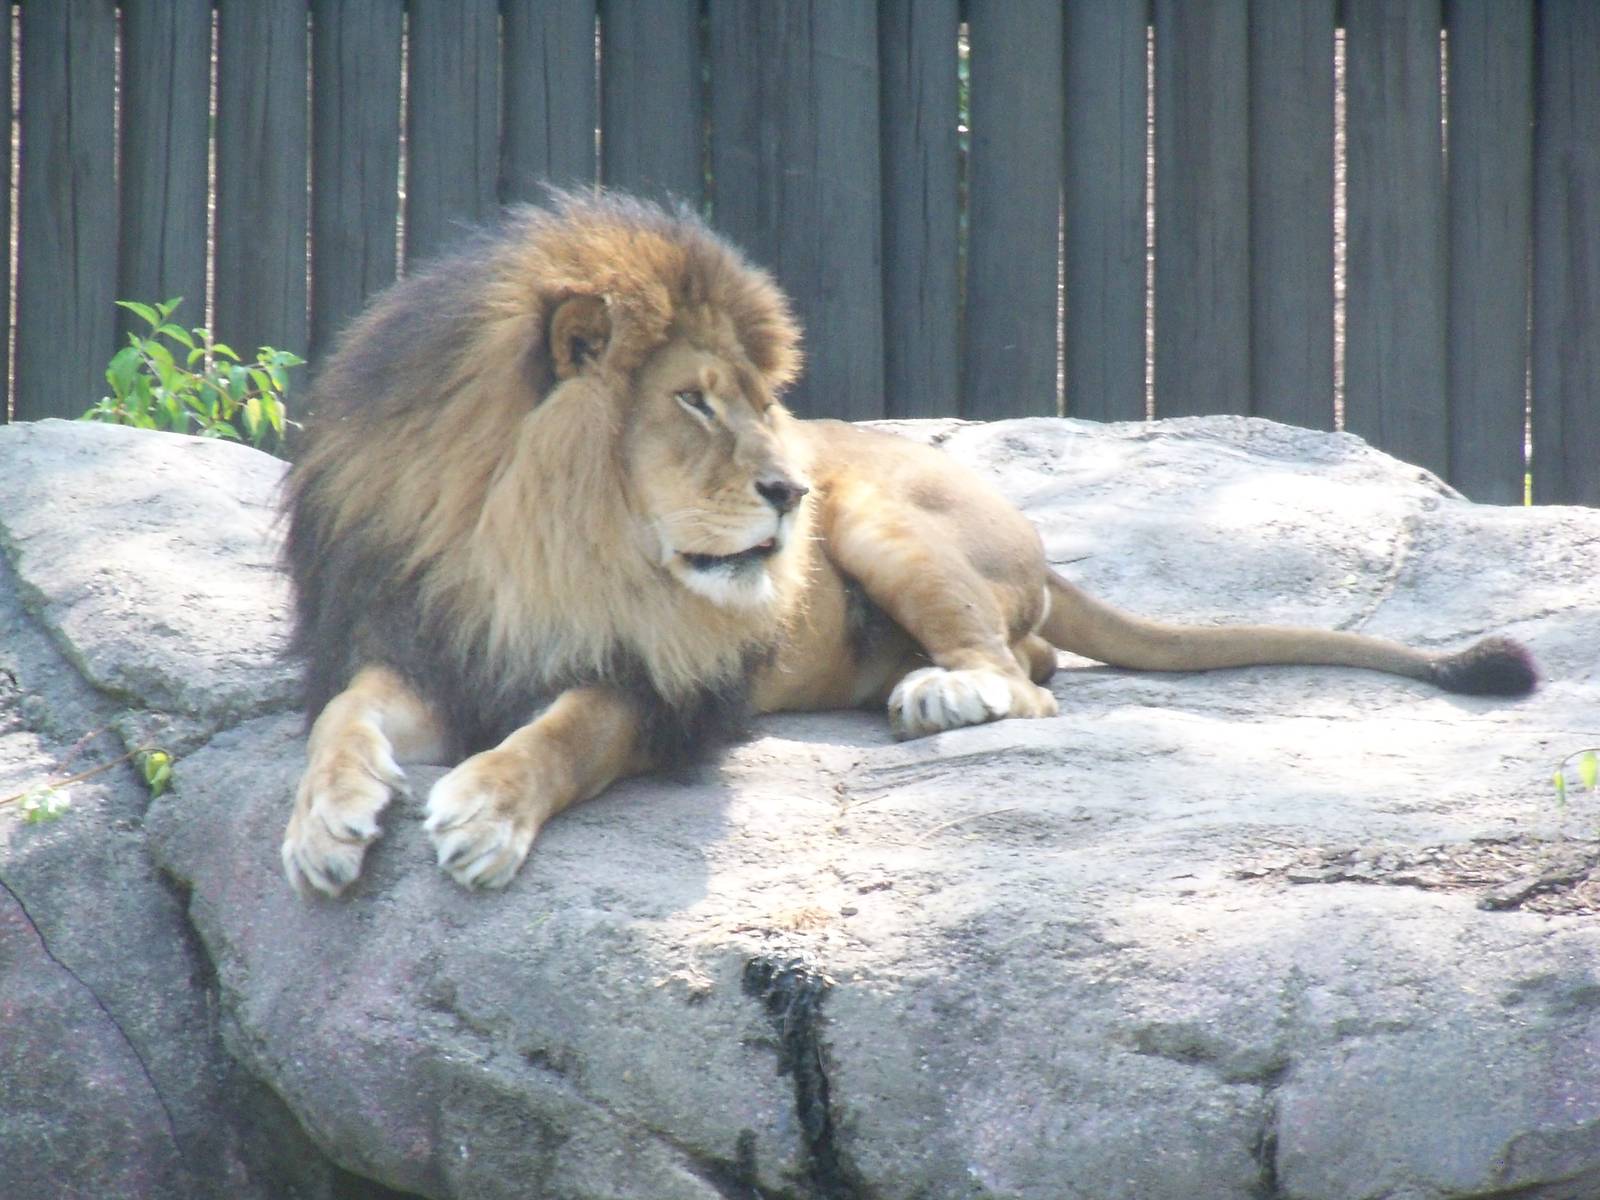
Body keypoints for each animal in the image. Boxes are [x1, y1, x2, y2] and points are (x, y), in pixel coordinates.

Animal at [280, 191, 1537, 898]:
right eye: (692, 402)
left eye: (762, 404)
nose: (787, 489)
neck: (538, 545)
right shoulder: (428, 637)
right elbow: (347, 715)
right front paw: (324, 822)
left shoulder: (672, 690)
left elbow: (572, 729)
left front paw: (487, 813)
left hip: (885, 523)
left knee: (1027, 679)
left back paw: (939, 693)